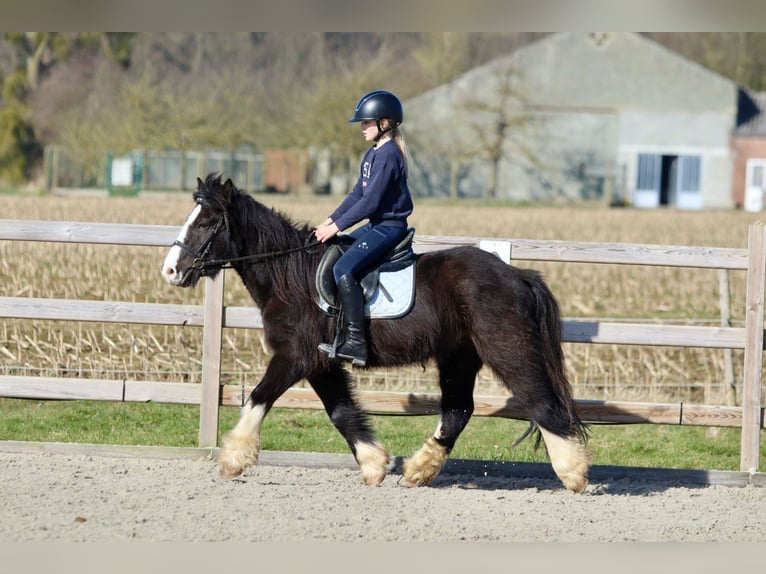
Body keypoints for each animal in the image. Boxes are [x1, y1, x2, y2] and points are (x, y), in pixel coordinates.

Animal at [162, 173, 592, 492]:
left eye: (205, 222)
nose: (170, 270)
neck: (289, 275)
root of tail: (517, 275)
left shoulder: (295, 355)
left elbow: (258, 397)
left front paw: (232, 459)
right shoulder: (321, 363)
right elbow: (341, 412)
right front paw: (374, 464)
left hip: (506, 348)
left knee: (541, 402)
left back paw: (573, 473)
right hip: (459, 356)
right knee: (458, 411)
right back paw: (418, 469)